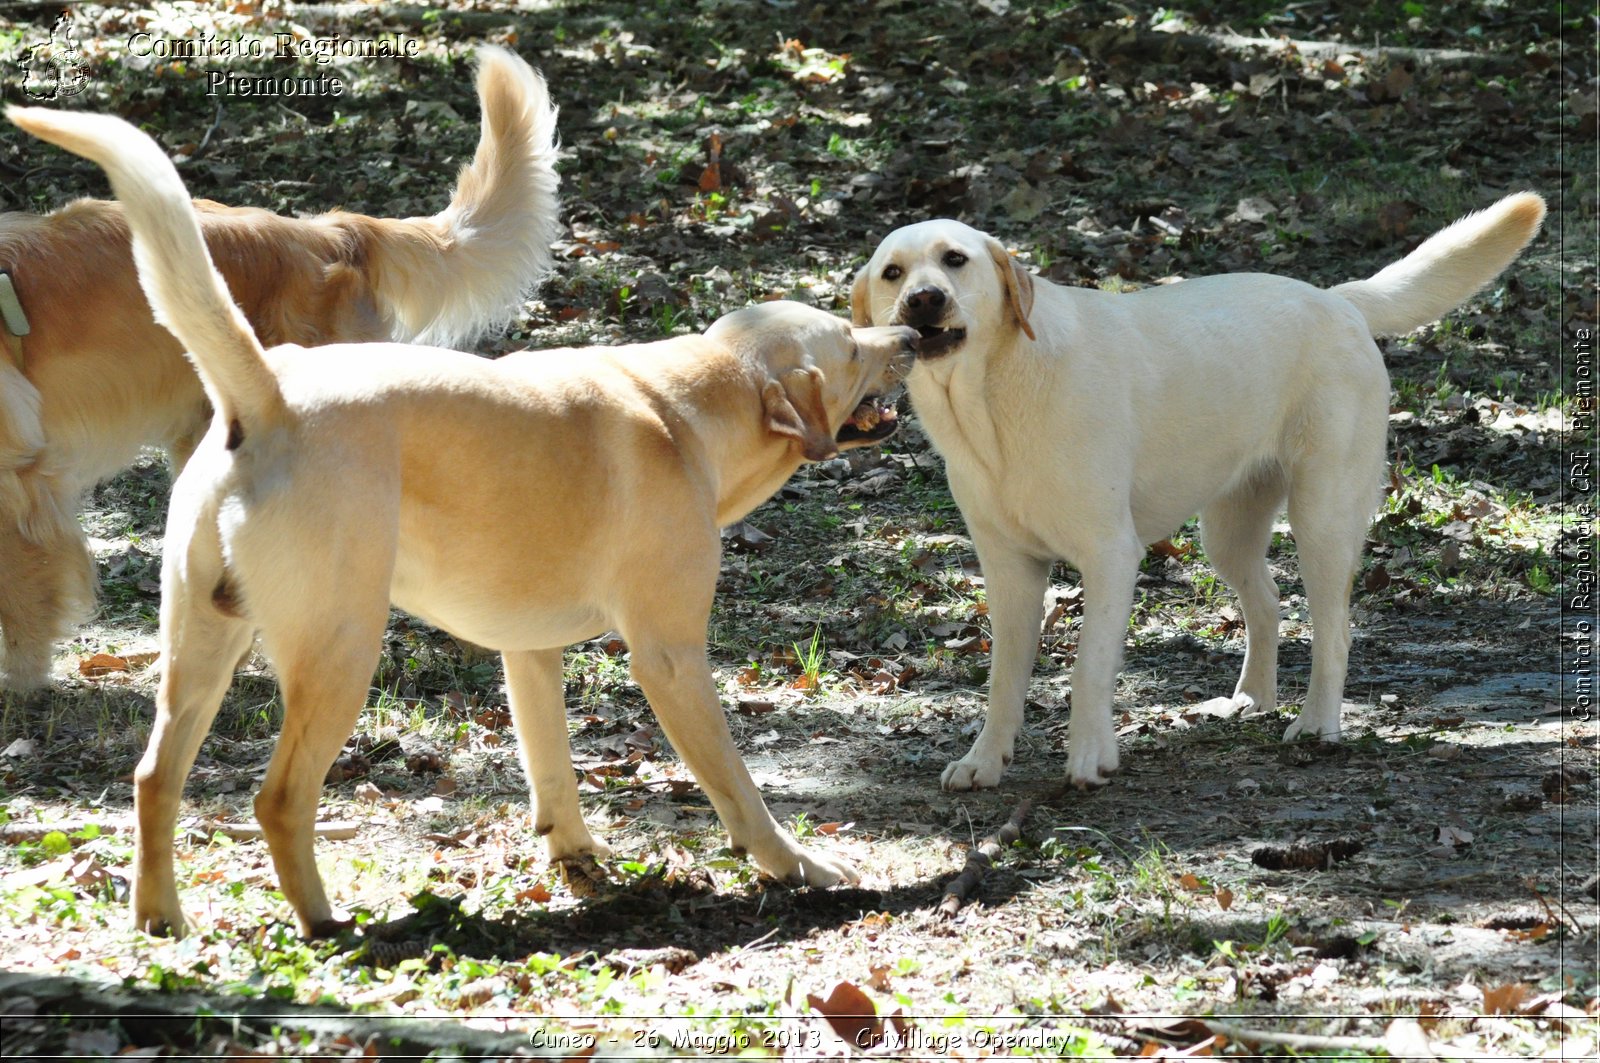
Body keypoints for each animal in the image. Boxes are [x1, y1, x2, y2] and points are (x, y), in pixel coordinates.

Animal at [12, 108, 921, 941]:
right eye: (850, 344)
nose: (911, 330)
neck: (687, 405)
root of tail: (268, 392)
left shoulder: (531, 652)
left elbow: (554, 768)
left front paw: (578, 860)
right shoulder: (670, 656)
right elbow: (736, 784)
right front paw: (796, 865)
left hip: (199, 647)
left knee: (154, 778)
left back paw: (159, 917)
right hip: (338, 653)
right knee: (278, 797)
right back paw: (325, 923)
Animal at [857, 192, 1542, 787]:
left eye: (955, 260)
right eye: (893, 272)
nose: (922, 299)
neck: (990, 401)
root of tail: (1337, 300)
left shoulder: (1110, 556)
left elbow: (1088, 666)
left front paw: (1090, 756)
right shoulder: (1009, 571)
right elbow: (1004, 679)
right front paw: (985, 761)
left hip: (1322, 519)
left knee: (1334, 630)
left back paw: (1316, 724)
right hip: (1228, 533)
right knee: (1269, 603)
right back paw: (1252, 699)